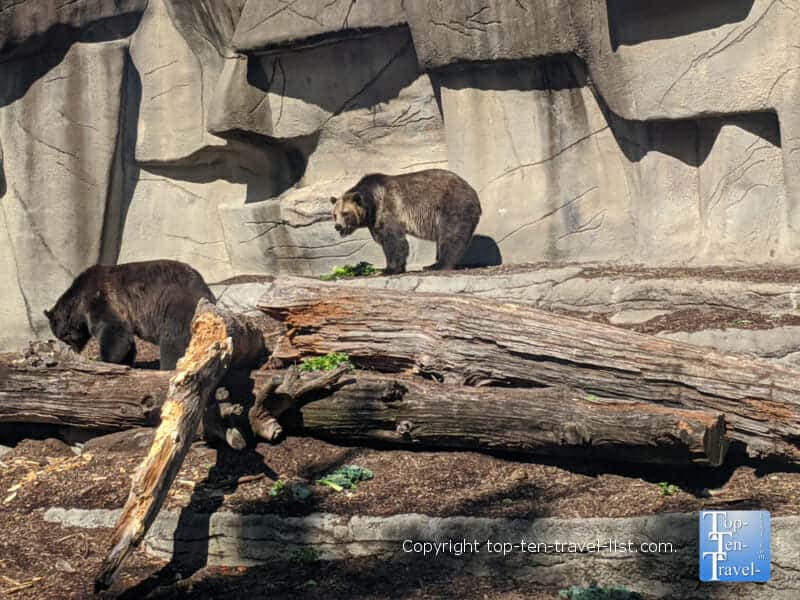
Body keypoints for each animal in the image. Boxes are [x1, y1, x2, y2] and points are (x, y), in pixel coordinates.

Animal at [43, 259, 215, 370]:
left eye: (62, 335)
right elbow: (126, 340)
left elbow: (113, 330)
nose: (71, 349)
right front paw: (125, 361)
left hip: (178, 305)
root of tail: (207, 291)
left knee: (172, 340)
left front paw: (103, 359)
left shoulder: (101, 298)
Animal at [330, 169, 481, 275]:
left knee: (451, 235)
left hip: (452, 205)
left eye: (345, 213)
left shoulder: (389, 208)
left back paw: (439, 265)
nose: (338, 226)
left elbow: (394, 241)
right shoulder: (374, 220)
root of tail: (472, 191)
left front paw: (389, 269)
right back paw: (432, 264)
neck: (372, 203)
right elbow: (384, 239)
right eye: (334, 215)